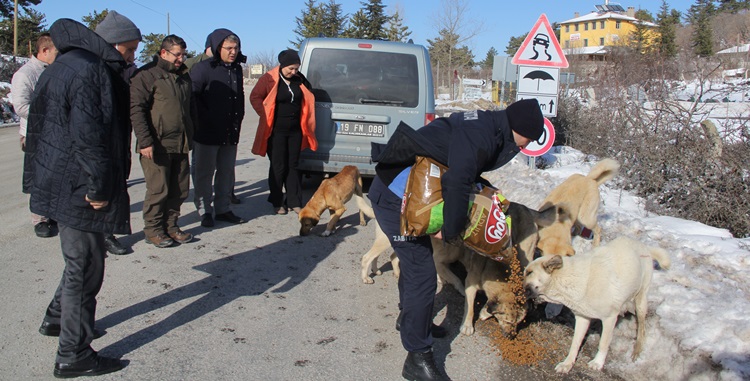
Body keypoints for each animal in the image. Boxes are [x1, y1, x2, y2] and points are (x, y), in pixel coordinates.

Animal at [524, 236, 672, 372]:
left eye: (529, 273)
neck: (570, 279)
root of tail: (643, 245)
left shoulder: (609, 318)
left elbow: (603, 343)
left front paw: (598, 363)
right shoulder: (582, 318)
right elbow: (575, 344)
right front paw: (567, 364)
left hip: (640, 300)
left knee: (642, 327)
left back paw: (637, 350)